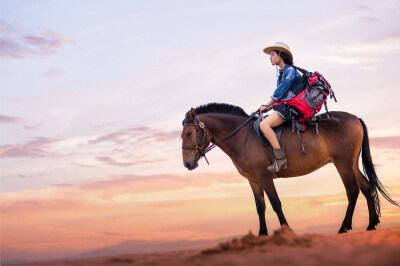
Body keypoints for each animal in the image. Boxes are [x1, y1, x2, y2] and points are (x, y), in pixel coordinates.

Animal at [182, 102, 400, 235]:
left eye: (190, 133)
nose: (187, 164)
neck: (242, 137)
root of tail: (355, 118)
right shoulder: (253, 180)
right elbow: (260, 207)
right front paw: (262, 235)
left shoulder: (265, 177)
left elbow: (276, 203)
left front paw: (286, 231)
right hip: (352, 163)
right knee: (367, 187)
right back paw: (371, 224)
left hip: (343, 163)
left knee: (353, 191)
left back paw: (344, 226)